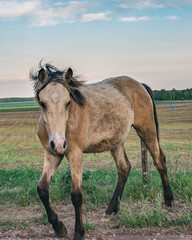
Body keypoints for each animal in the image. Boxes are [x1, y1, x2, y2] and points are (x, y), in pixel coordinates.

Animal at [30, 63, 174, 240]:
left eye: (68, 102)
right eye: (43, 103)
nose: (58, 143)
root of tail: (140, 85)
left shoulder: (75, 154)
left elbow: (76, 195)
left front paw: (79, 231)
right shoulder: (52, 154)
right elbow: (42, 189)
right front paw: (59, 227)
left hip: (147, 130)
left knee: (159, 160)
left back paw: (168, 201)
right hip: (116, 142)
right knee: (124, 168)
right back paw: (111, 209)